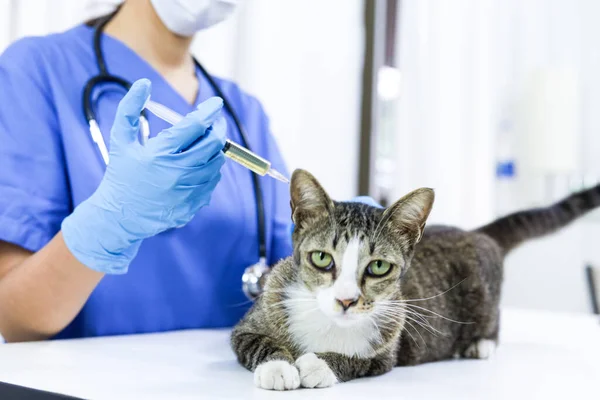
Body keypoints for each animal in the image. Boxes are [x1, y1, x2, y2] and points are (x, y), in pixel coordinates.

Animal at [231, 169, 600, 390]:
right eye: (322, 258)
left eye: (378, 267)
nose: (347, 300)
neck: (328, 322)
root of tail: (475, 233)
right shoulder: (254, 318)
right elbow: (254, 341)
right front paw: (278, 366)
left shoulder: (388, 348)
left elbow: (361, 361)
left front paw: (319, 364)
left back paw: (481, 343)